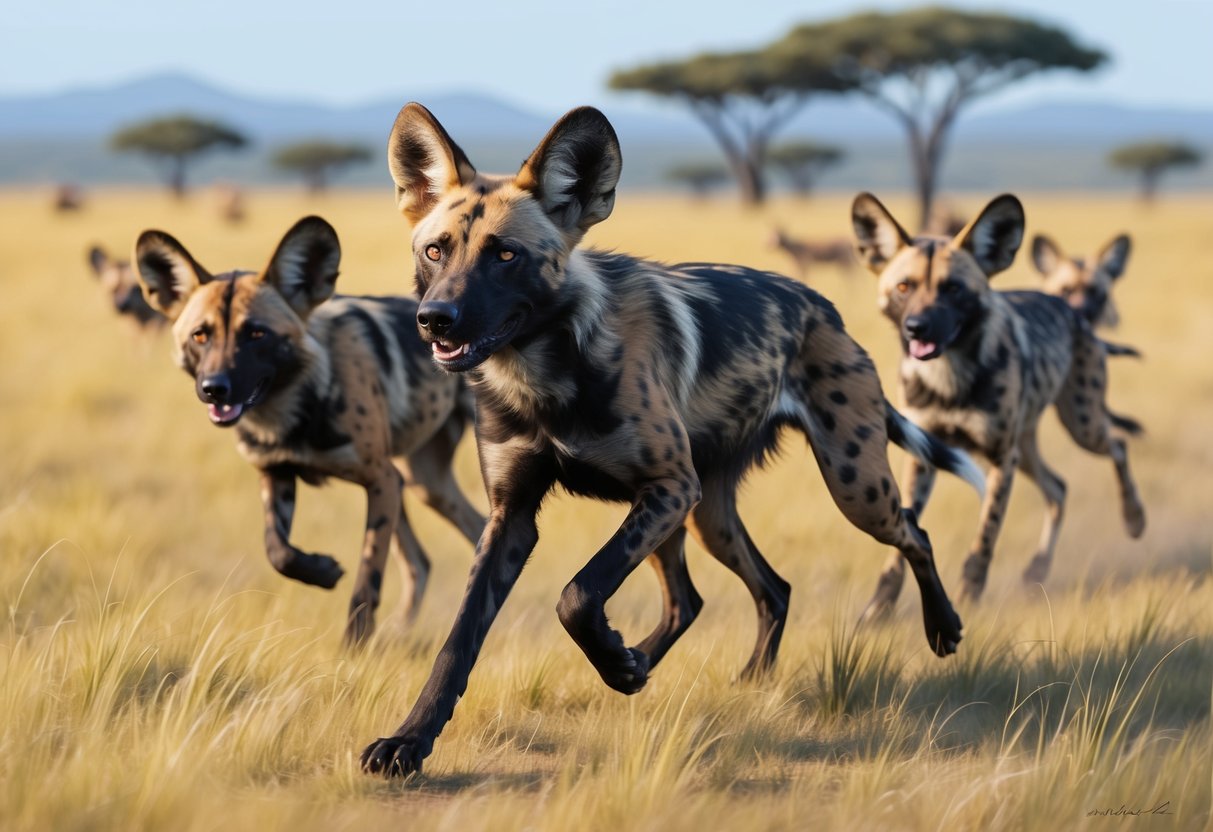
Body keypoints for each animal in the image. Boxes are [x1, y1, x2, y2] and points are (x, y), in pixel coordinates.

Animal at [135, 217, 485, 645]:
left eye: (257, 334)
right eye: (201, 335)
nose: (214, 388)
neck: (289, 412)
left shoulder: (380, 480)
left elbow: (367, 580)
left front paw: (353, 648)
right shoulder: (277, 474)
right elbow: (278, 551)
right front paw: (322, 571)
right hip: (422, 481)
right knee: (432, 555)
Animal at [356, 104, 984, 781]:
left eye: (505, 254)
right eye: (435, 250)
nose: (434, 319)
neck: (542, 376)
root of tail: (825, 308)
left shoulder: (664, 489)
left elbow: (577, 594)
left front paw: (613, 658)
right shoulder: (514, 517)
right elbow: (460, 641)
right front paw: (409, 741)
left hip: (847, 488)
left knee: (912, 533)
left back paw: (944, 627)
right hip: (706, 515)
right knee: (743, 593)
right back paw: (693, 674)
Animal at [849, 192, 1140, 616]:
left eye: (954, 289)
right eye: (904, 287)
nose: (917, 327)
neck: (949, 377)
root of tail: (1072, 313)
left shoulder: (1002, 459)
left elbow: (984, 539)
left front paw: (969, 595)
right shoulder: (924, 455)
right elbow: (902, 539)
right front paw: (881, 606)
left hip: (1079, 426)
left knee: (1118, 445)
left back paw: (1135, 516)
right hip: (1028, 449)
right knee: (1058, 488)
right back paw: (1037, 568)